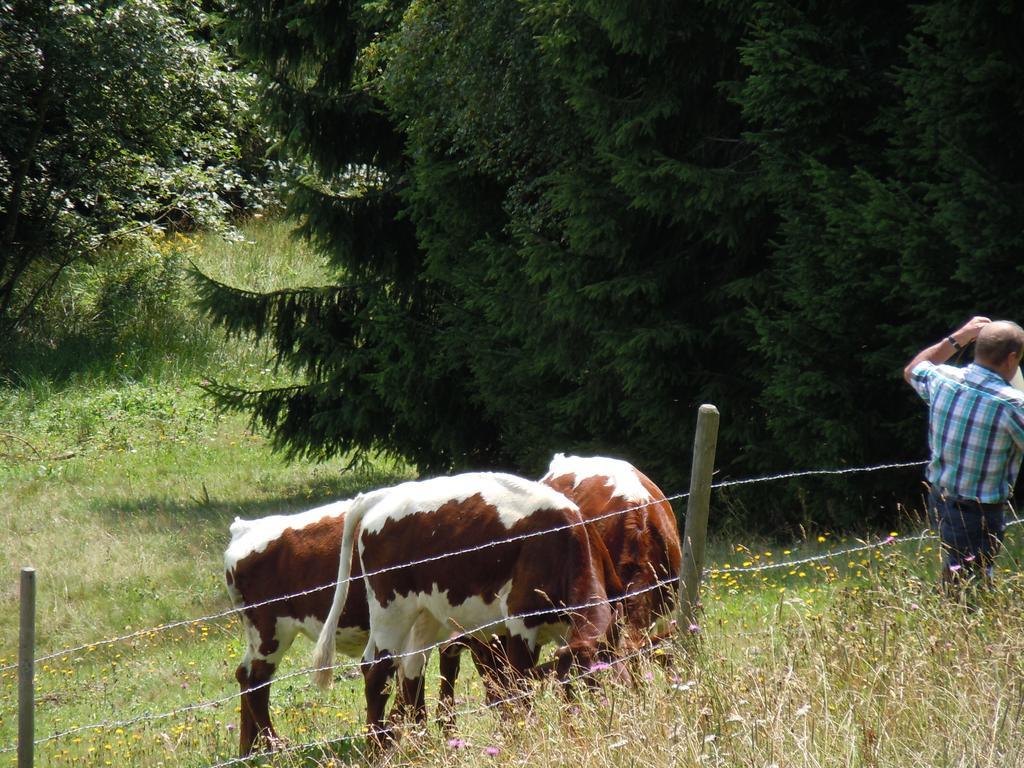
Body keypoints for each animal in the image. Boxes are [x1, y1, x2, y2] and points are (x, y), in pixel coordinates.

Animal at [311, 473, 614, 741]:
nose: (601, 719)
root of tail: (382, 496)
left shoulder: (565, 631)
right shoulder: (520, 620)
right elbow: (518, 687)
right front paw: (523, 736)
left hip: (425, 615)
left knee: (409, 668)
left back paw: (423, 747)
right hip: (391, 610)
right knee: (377, 675)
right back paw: (378, 749)